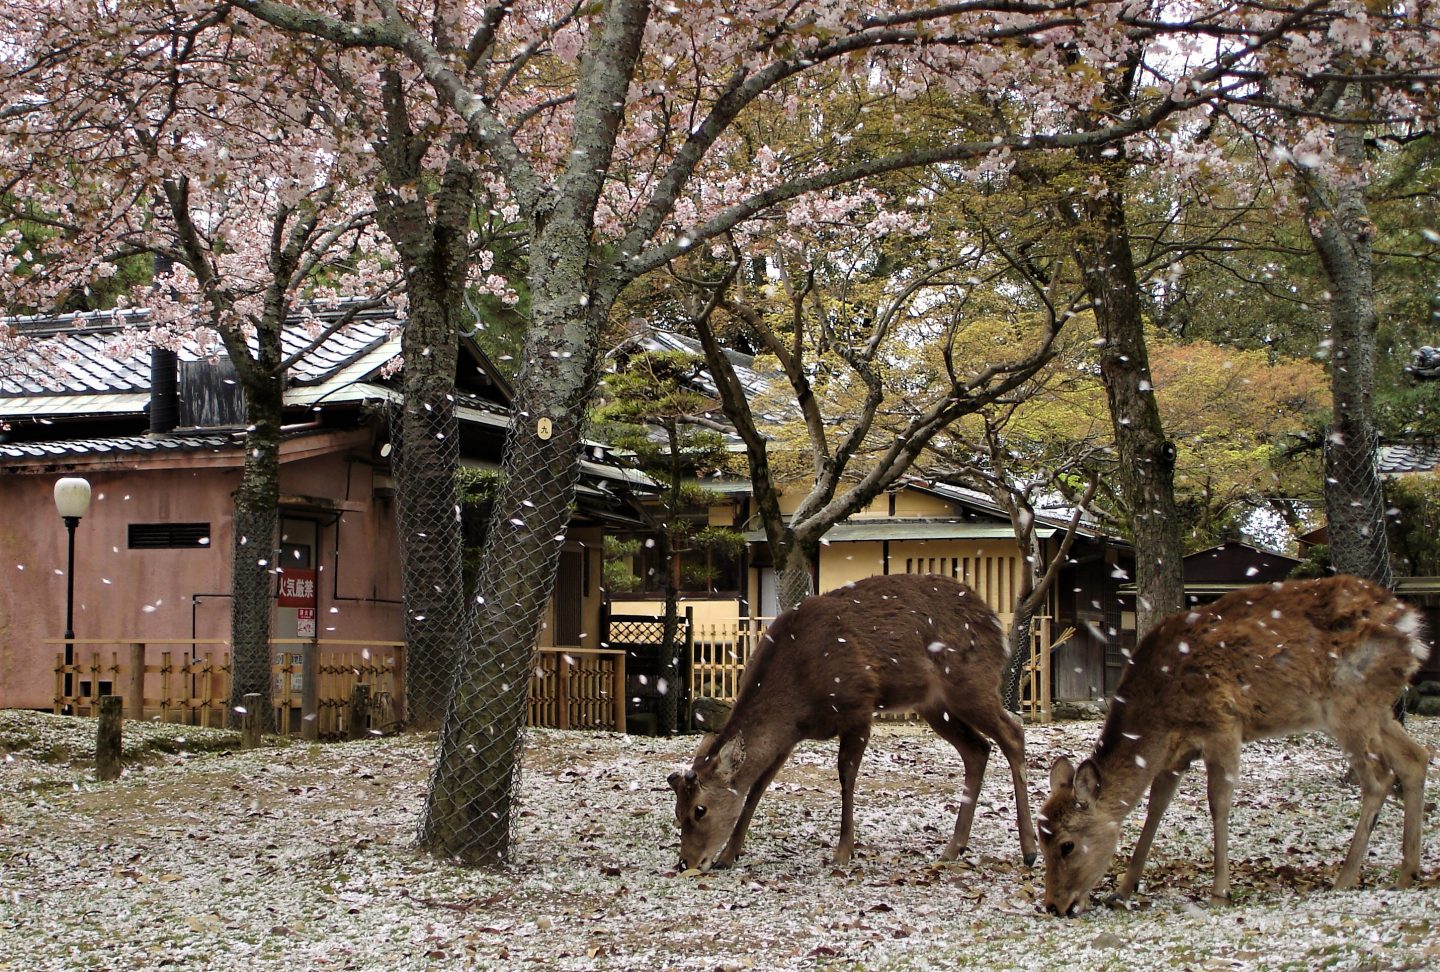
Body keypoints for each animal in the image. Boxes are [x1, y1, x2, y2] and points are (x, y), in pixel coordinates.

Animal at [662, 570, 1036, 875]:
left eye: (699, 810)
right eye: (677, 812)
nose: (687, 863)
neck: (796, 692)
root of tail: (995, 623)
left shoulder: (857, 706)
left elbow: (846, 777)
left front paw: (843, 853)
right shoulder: (790, 734)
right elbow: (757, 787)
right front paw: (729, 855)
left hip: (970, 682)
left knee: (1013, 733)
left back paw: (1029, 850)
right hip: (934, 706)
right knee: (978, 749)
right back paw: (952, 849)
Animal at [1036, 578, 1428, 921]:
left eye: (1067, 845)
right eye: (1041, 840)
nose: (1054, 905)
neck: (1159, 715)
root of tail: (1412, 626)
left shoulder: (1222, 724)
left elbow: (1218, 802)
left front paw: (1219, 892)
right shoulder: (1176, 753)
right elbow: (1156, 807)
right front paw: (1123, 889)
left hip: (1349, 703)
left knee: (1378, 779)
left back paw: (1344, 879)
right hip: (1377, 707)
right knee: (1415, 758)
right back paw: (1407, 873)